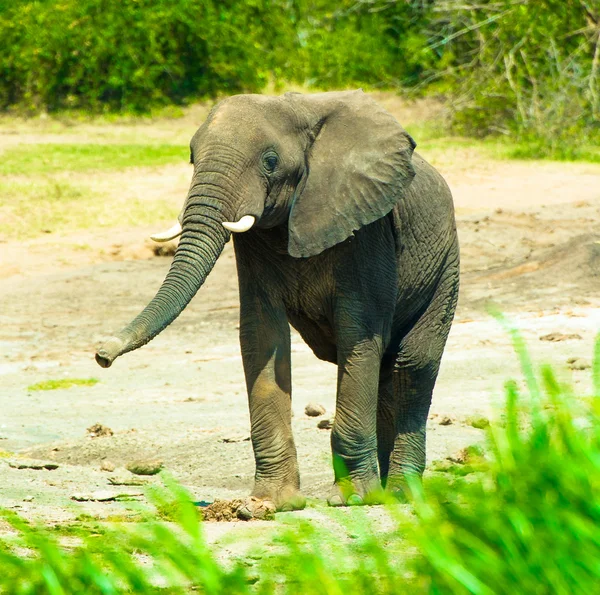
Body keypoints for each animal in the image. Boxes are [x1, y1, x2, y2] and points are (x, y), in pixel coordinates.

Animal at [95, 89, 460, 516]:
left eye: (270, 162)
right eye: (191, 157)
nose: (102, 355)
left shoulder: (368, 231)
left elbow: (359, 334)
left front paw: (353, 500)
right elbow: (262, 335)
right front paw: (266, 504)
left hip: (445, 265)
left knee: (412, 365)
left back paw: (401, 494)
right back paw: (387, 491)